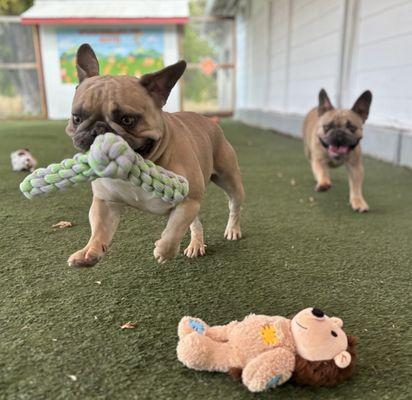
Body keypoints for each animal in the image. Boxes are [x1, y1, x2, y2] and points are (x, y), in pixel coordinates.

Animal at [65, 44, 244, 266]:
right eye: (76, 118)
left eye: (127, 120)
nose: (98, 130)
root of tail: (208, 121)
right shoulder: (105, 203)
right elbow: (99, 229)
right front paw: (89, 251)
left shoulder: (188, 201)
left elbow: (173, 231)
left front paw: (164, 250)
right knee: (196, 223)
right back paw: (196, 244)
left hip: (230, 181)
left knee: (234, 206)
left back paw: (232, 229)